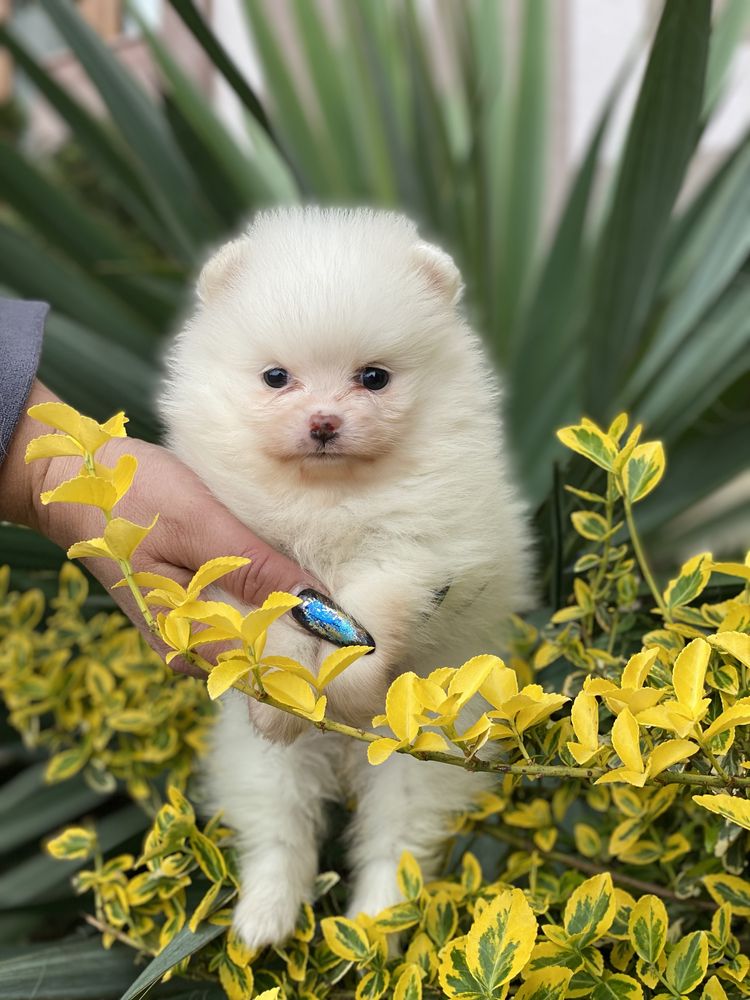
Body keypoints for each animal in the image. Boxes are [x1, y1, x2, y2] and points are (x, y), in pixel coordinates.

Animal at [160, 207, 536, 948]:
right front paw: (284, 687)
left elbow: (376, 609)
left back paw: (374, 925)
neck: (327, 496)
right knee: (280, 829)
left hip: (425, 756)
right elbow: (270, 623)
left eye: (374, 378)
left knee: (395, 843)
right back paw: (264, 916)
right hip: (260, 765)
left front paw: (354, 685)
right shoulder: (234, 553)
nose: (325, 421)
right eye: (276, 377)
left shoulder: (419, 551)